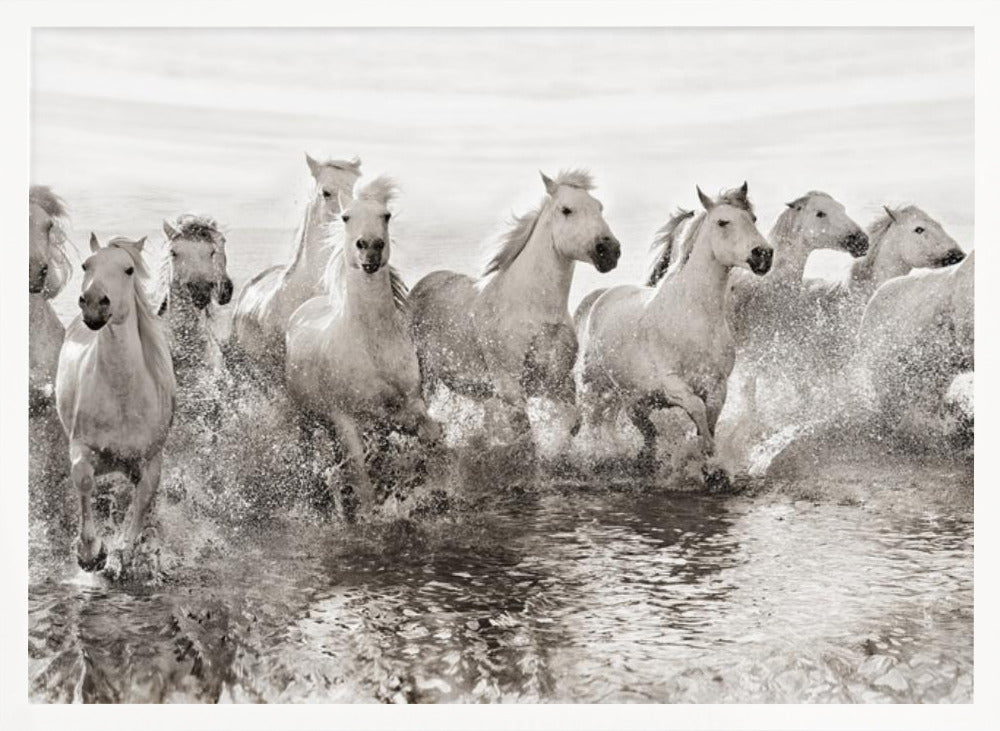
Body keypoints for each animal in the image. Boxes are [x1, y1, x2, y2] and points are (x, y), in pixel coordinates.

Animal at [55, 235, 175, 573]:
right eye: (86, 265)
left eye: (128, 269)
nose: (95, 302)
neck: (123, 398)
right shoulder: (82, 446)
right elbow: (83, 479)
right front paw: (90, 553)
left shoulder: (151, 460)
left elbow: (143, 500)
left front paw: (123, 549)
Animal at [286, 177, 440, 515]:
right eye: (346, 217)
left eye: (386, 215)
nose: (370, 247)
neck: (371, 344)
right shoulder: (344, 419)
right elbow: (361, 476)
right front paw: (369, 513)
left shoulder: (409, 404)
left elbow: (431, 435)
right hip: (306, 418)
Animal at [408, 170, 620, 456]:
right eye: (566, 210)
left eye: (599, 207)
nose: (609, 251)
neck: (534, 308)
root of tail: (424, 282)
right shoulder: (509, 384)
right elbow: (524, 432)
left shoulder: (556, 381)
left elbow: (572, 421)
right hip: (425, 376)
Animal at [574, 183, 772, 484]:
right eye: (722, 222)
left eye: (753, 219)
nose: (763, 254)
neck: (695, 316)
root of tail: (601, 296)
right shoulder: (673, 383)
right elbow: (698, 410)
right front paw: (704, 455)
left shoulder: (717, 384)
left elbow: (709, 419)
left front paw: (711, 466)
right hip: (595, 385)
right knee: (594, 420)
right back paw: (596, 456)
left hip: (633, 398)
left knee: (641, 430)